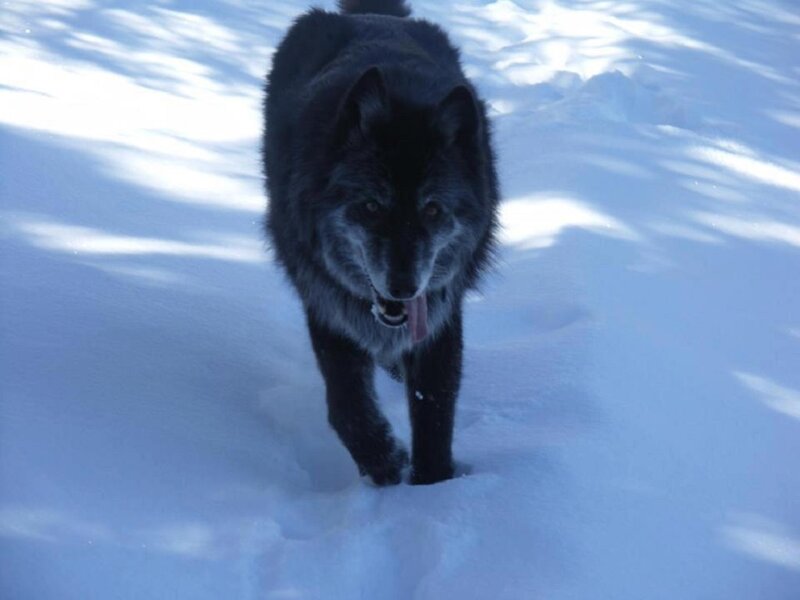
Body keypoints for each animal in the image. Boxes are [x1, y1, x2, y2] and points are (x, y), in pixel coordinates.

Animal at [262, 0, 499, 485]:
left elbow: (435, 410)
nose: (403, 287)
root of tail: (373, 15)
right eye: (371, 206)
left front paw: (433, 488)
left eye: (432, 210)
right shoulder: (326, 303)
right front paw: (384, 462)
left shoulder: (441, 316)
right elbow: (346, 405)